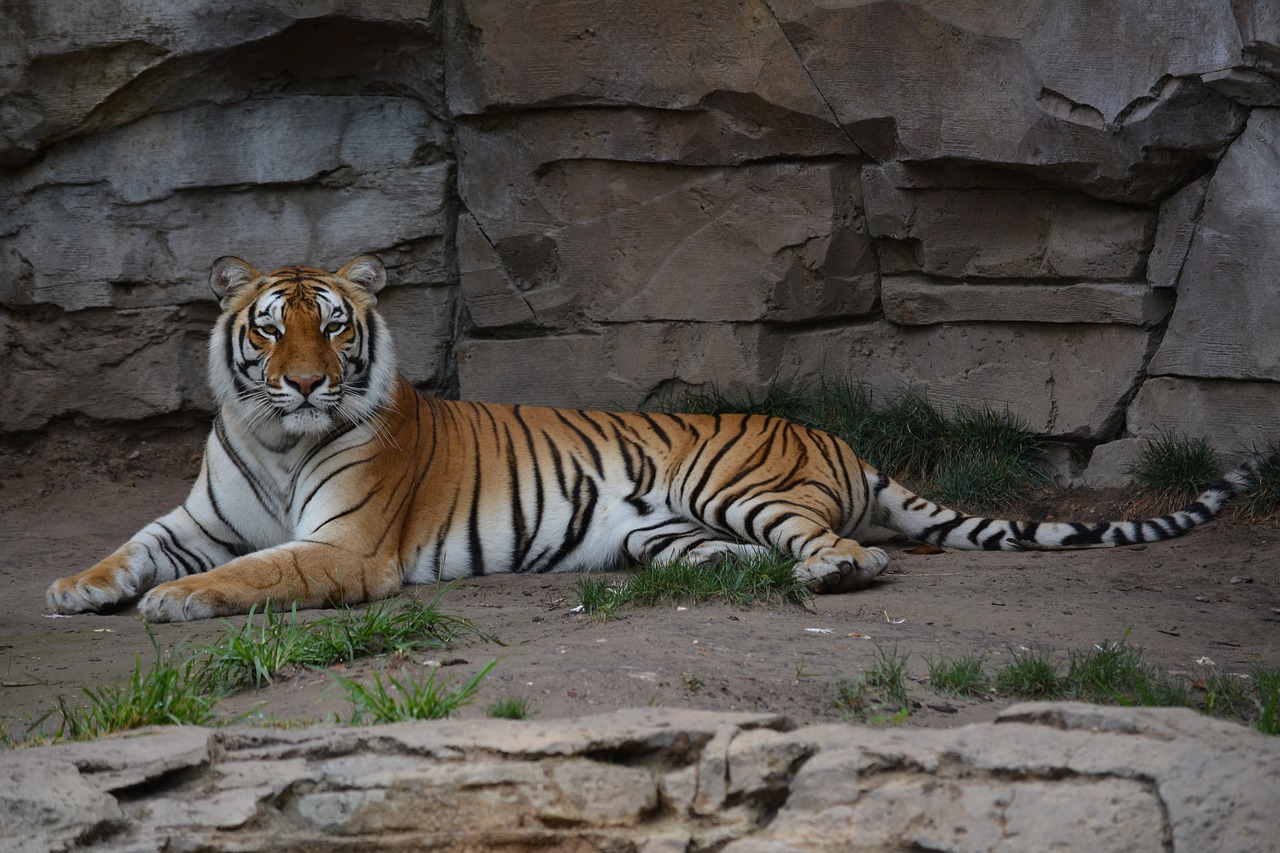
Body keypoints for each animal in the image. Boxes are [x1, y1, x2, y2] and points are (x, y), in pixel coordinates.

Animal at [45, 256, 1264, 622]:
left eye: (334, 326)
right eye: (268, 325)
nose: (303, 380)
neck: (276, 437)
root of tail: (844, 443)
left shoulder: (344, 546)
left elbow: (256, 569)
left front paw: (178, 602)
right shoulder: (199, 514)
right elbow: (136, 544)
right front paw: (75, 585)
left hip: (739, 483)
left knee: (845, 548)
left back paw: (836, 572)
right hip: (660, 532)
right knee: (743, 557)